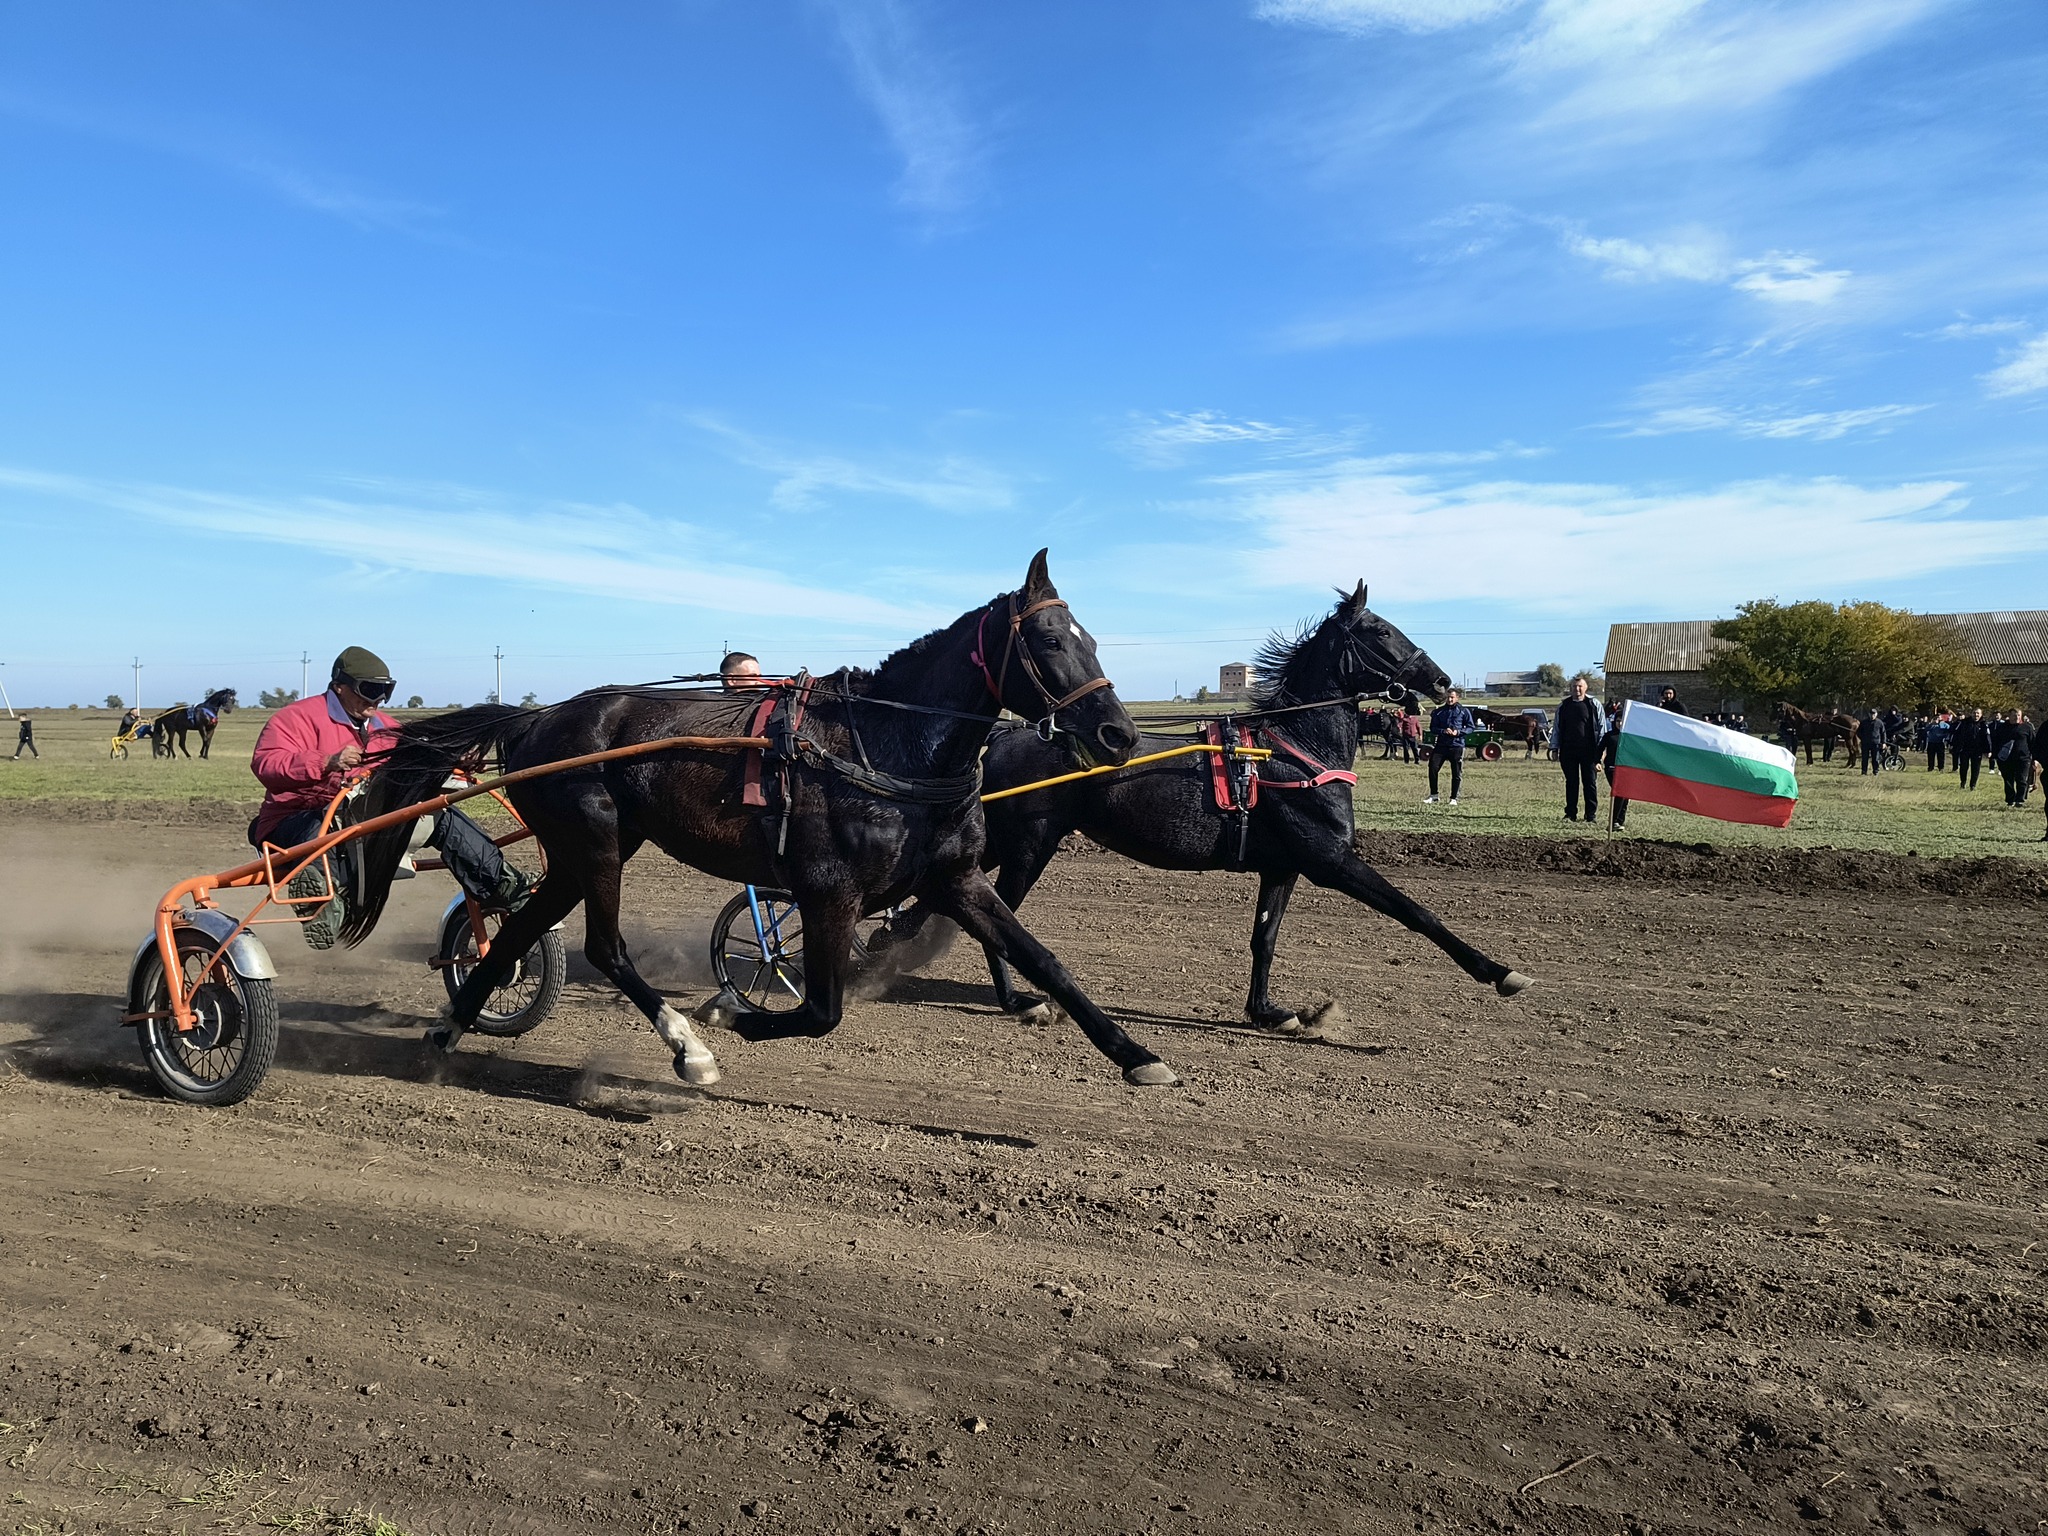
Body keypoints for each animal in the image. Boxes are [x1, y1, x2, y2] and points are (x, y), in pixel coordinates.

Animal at [337, 552, 1187, 1097]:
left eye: (1092, 640)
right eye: (1047, 640)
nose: (1118, 734)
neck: (889, 746)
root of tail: (537, 717)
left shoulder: (956, 878)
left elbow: (1047, 962)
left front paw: (1138, 1055)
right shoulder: (827, 892)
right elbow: (821, 1010)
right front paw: (732, 1015)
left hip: (580, 852)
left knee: (517, 931)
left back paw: (447, 1031)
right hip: (596, 842)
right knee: (605, 949)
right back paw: (689, 1049)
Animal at [897, 585, 1540, 1036]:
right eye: (1381, 629)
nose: (1440, 678)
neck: (1291, 749)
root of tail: (1007, 733)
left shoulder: (1283, 866)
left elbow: (1264, 939)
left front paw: (1272, 1011)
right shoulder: (1330, 860)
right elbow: (1416, 912)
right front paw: (1501, 973)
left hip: (1003, 841)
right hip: (1031, 844)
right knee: (991, 914)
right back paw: (1016, 1000)